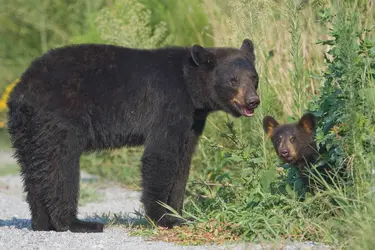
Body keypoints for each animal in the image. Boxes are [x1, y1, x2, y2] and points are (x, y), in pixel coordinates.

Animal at [7, 39, 260, 232]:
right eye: (233, 80)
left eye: (254, 77)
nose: (253, 101)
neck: (190, 87)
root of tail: (21, 90)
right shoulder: (168, 104)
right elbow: (160, 156)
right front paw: (162, 218)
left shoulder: (192, 121)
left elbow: (183, 162)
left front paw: (178, 215)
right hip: (59, 119)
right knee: (61, 166)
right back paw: (75, 223)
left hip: (27, 129)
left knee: (34, 170)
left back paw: (42, 223)